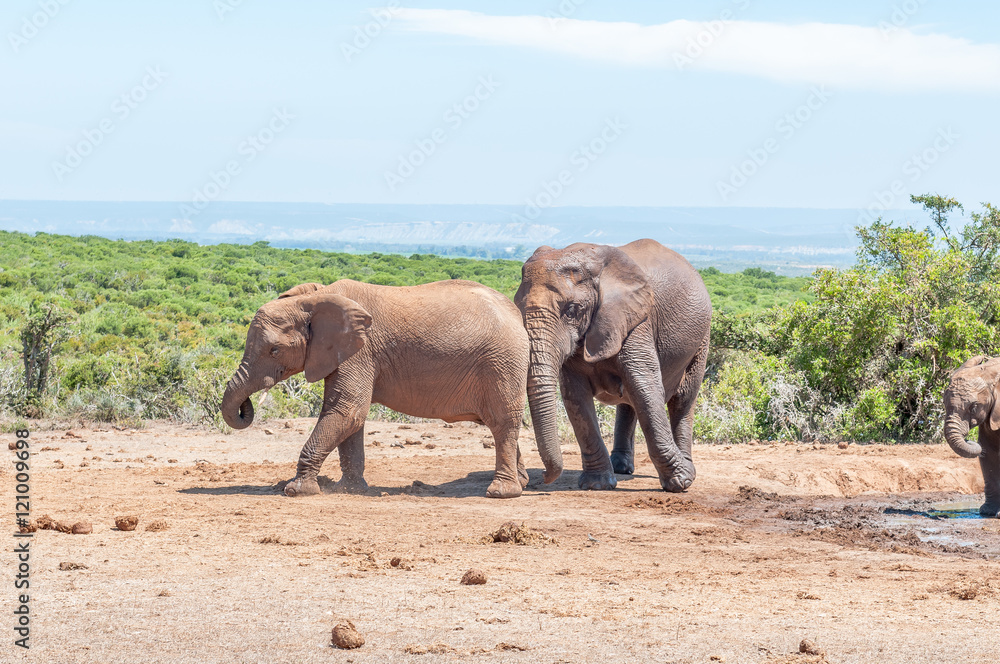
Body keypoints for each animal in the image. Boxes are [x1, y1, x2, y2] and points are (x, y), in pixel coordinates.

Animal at [220, 279, 531, 499]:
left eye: (274, 350)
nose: (246, 407)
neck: (316, 298)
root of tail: (515, 314)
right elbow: (350, 418)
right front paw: (350, 489)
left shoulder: (360, 351)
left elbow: (347, 411)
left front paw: (297, 490)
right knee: (497, 423)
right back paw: (521, 482)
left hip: (502, 361)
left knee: (502, 421)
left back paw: (501, 492)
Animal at [514, 239, 711, 493]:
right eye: (517, 307)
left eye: (572, 310)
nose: (543, 478)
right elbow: (575, 398)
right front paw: (597, 485)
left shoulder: (637, 321)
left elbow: (645, 387)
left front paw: (681, 482)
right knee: (629, 401)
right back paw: (621, 468)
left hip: (702, 338)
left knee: (682, 400)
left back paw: (687, 468)